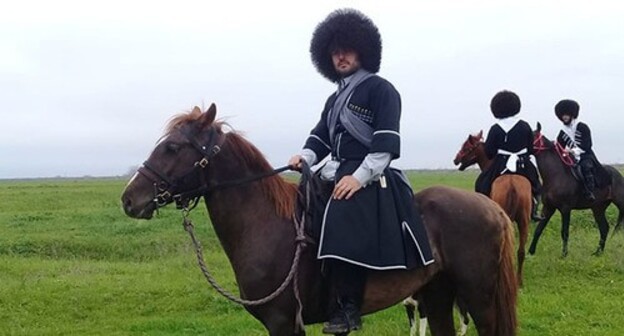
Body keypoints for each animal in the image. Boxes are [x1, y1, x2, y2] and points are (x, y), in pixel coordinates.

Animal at [120, 105, 516, 336]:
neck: (267, 227)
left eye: (172, 147)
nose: (129, 199)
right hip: (437, 295)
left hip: (478, 297)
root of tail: (489, 207)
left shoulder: (282, 322)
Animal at [454, 131, 532, 286]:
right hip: (524, 222)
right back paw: (518, 280)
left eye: (466, 147)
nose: (456, 159)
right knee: (520, 251)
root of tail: (512, 185)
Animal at [528, 123, 624, 258]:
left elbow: (564, 232)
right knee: (604, 228)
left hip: (619, 203)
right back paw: (598, 253)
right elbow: (539, 229)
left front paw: (564, 255)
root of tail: (617, 174)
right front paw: (530, 252)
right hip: (598, 208)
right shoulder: (548, 207)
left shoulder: (565, 209)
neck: (555, 175)